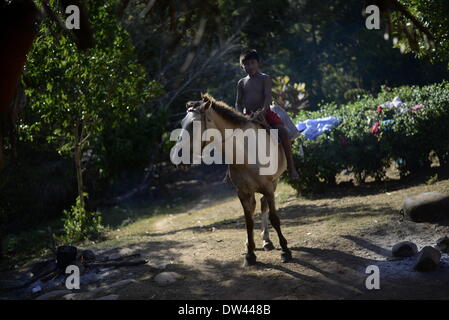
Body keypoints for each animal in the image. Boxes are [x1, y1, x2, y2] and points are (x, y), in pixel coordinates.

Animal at [173, 94, 292, 266]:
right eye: (182, 123)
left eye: (193, 124)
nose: (178, 158)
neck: (246, 154)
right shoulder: (242, 192)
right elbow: (248, 221)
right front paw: (250, 254)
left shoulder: (269, 188)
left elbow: (274, 218)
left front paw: (285, 250)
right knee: (256, 206)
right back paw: (257, 242)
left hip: (274, 182)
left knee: (263, 205)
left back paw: (267, 241)